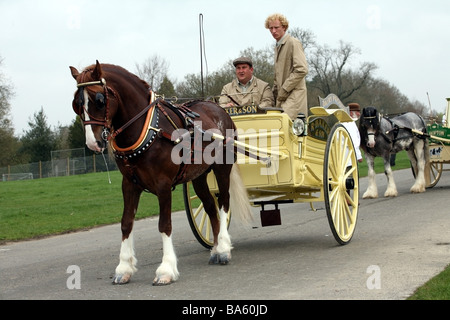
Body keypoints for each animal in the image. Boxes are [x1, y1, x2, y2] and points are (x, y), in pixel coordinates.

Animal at [70, 60, 253, 284]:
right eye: (77, 104)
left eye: (99, 100)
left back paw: (225, 248)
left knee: (223, 202)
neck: (150, 129)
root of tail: (218, 108)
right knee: (210, 207)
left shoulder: (163, 183)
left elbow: (164, 224)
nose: (92, 143)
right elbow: (126, 223)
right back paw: (216, 249)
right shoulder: (129, 184)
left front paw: (166, 269)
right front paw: (124, 268)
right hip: (199, 176)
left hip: (221, 168)